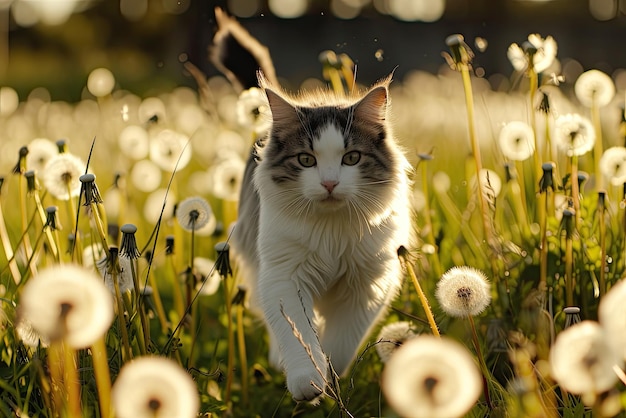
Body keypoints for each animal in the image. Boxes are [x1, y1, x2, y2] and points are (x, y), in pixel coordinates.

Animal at [232, 75, 412, 402]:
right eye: (306, 159)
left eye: (352, 158)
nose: (329, 183)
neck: (332, 233)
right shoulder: (285, 278)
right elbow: (297, 333)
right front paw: (309, 381)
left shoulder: (368, 285)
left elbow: (341, 343)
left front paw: (331, 379)